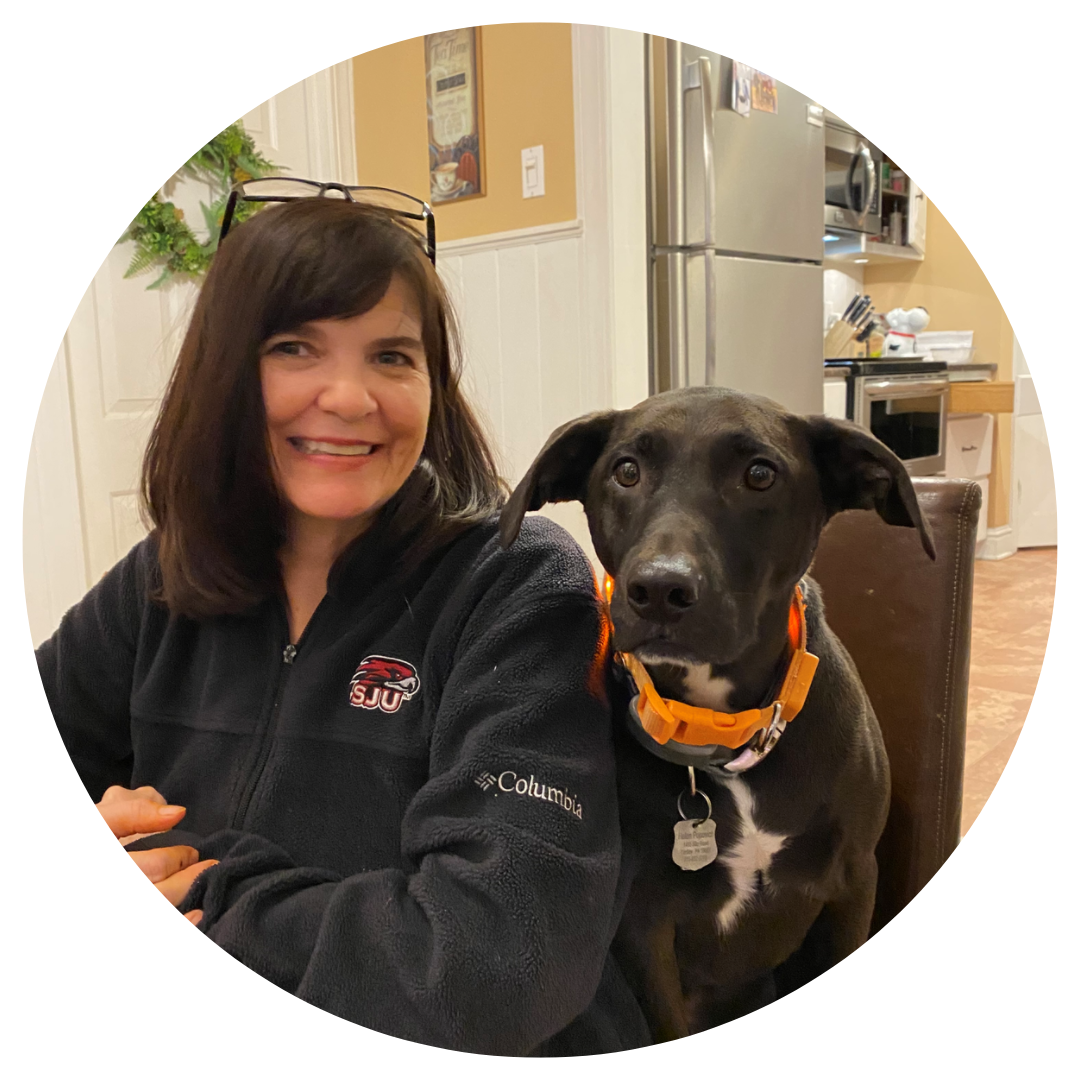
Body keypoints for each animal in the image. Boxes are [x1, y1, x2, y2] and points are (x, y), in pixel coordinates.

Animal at [498, 386, 935, 1041]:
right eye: (626, 471)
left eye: (760, 474)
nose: (659, 589)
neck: (726, 737)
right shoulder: (644, 926)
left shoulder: (853, 884)